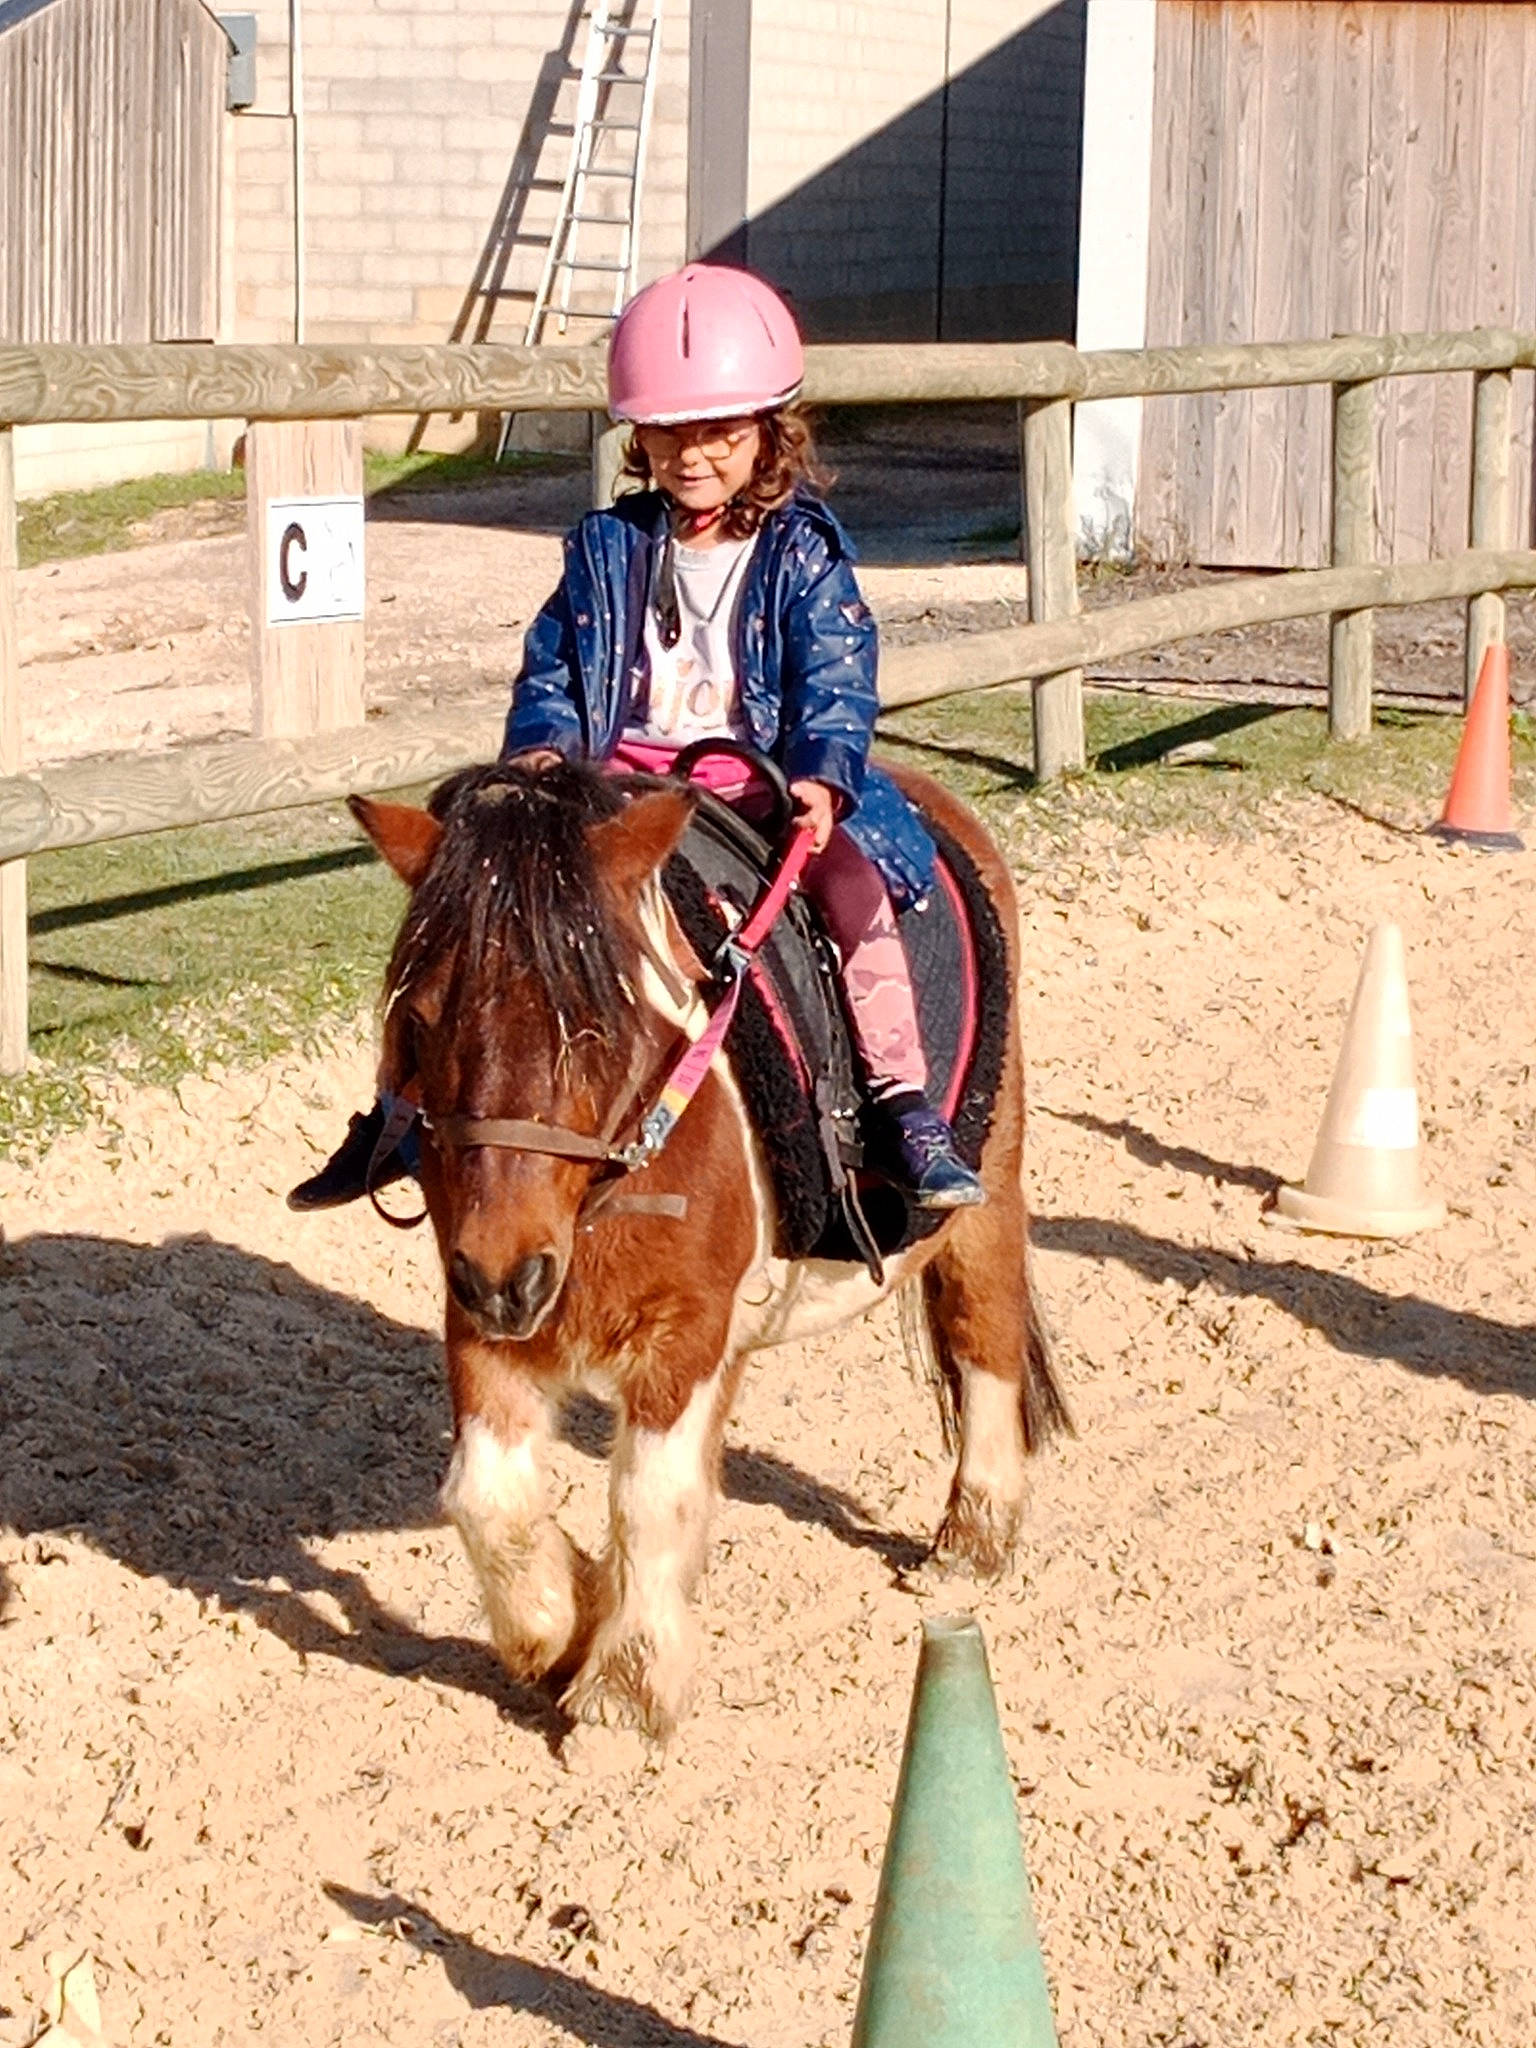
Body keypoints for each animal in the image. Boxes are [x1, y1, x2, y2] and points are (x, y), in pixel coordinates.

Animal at [351, 756, 1067, 1739]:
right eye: (419, 1020)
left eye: (597, 1021)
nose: (507, 1277)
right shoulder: (481, 1316)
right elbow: (487, 1497)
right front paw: (567, 1624)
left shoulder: (684, 1331)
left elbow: (651, 1496)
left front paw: (624, 1692)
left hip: (987, 1186)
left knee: (983, 1332)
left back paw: (975, 1537)